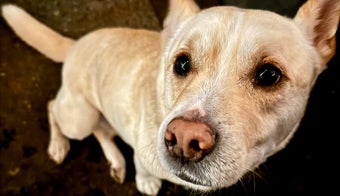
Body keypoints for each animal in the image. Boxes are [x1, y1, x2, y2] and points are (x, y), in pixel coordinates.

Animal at [1, 0, 338, 195]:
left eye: (269, 75)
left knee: (103, 130)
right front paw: (146, 181)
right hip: (78, 116)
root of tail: (73, 45)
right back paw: (59, 145)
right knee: (54, 108)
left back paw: (116, 161)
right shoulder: (143, 149)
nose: (186, 139)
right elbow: (143, 166)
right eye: (182, 63)